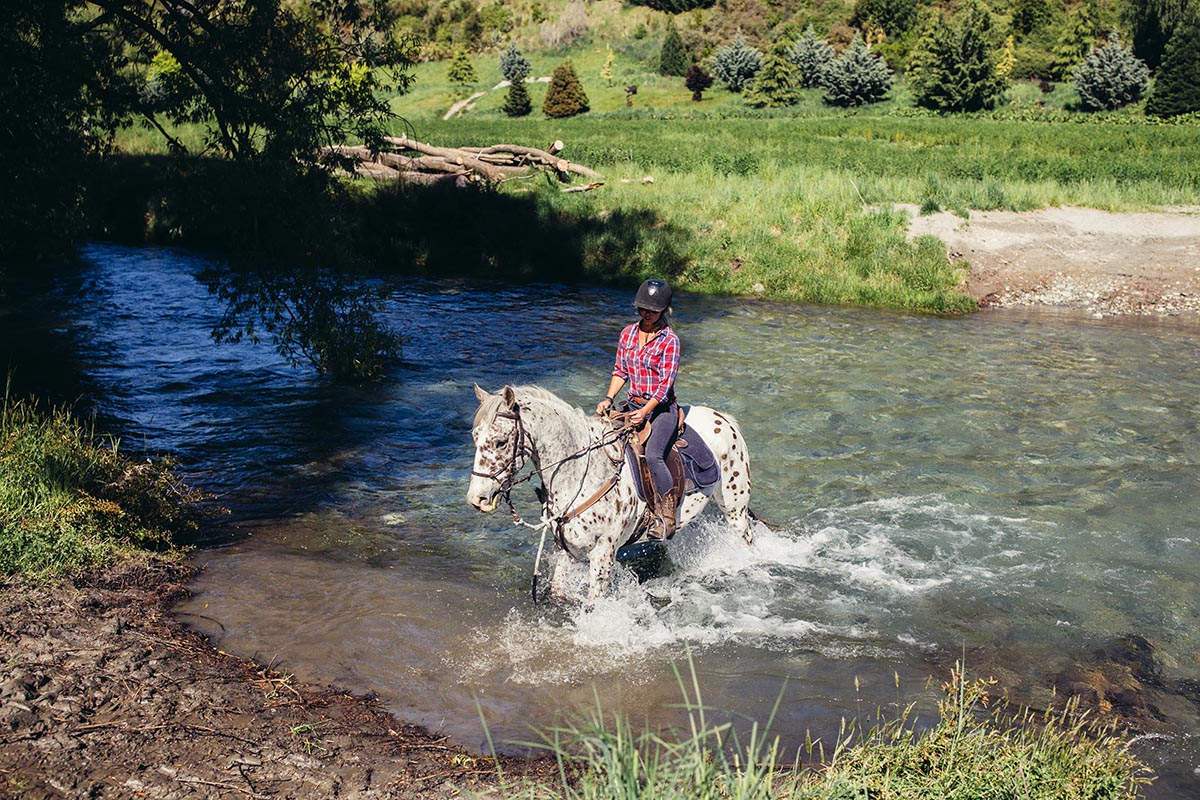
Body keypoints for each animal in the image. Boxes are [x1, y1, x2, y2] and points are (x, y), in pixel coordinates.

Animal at [467, 384, 754, 604]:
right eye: (475, 437)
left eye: (501, 442)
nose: (476, 499)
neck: (584, 470)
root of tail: (723, 418)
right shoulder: (567, 549)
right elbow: (558, 592)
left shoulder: (603, 553)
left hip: (735, 509)